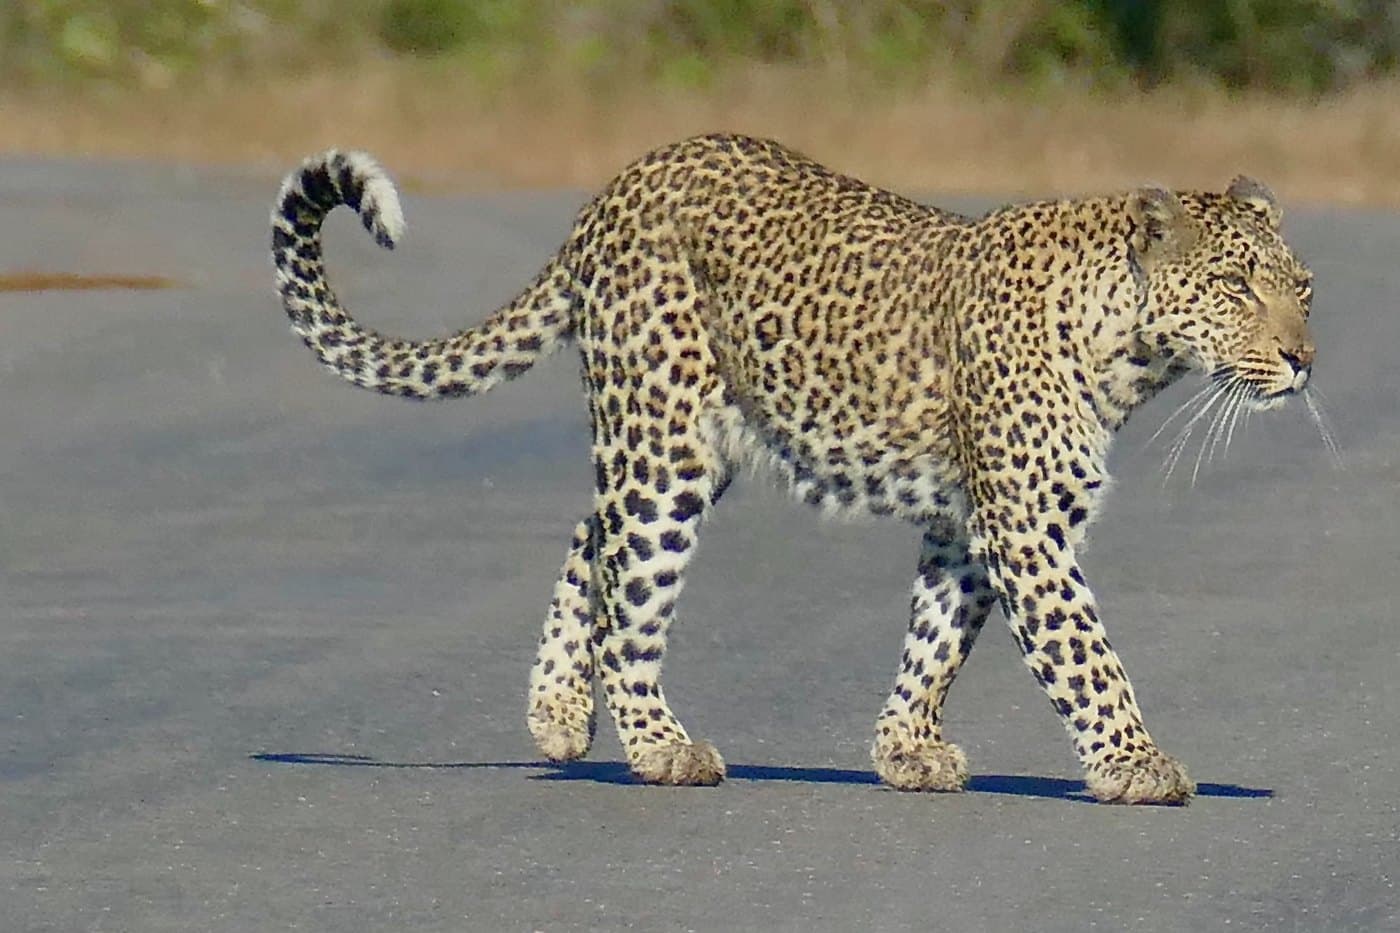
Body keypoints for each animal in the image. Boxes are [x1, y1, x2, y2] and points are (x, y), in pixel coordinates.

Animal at [270, 133, 1315, 805]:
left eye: (1301, 288)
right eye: (1236, 288)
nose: (1304, 358)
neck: (1129, 350)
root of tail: (616, 188)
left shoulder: (967, 524)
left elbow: (935, 639)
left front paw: (904, 749)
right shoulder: (1027, 528)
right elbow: (1088, 656)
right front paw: (1139, 766)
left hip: (687, 437)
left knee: (590, 534)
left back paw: (558, 715)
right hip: (664, 442)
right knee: (630, 598)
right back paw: (660, 747)